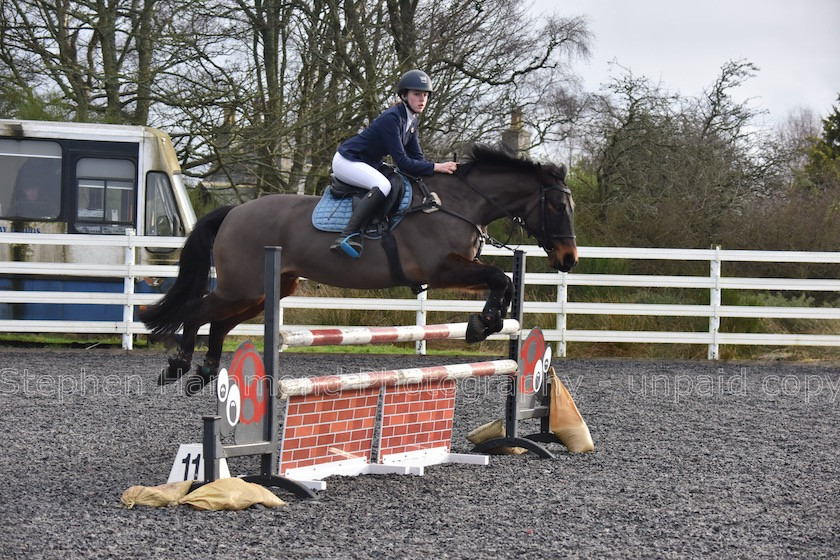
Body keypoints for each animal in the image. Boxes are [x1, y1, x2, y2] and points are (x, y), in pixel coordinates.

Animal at [139, 144, 576, 394]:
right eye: (557, 205)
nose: (568, 258)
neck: (457, 203)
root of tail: (235, 211)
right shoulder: (442, 270)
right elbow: (498, 277)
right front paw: (481, 324)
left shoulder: (457, 269)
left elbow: (504, 282)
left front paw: (487, 322)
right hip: (243, 287)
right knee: (197, 311)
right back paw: (178, 367)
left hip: (266, 290)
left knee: (219, 322)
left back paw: (205, 371)